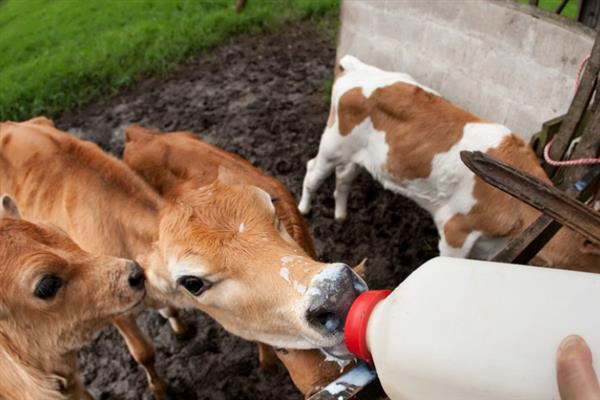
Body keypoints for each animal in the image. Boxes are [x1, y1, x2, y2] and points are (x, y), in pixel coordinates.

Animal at [300, 56, 600, 272]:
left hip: (356, 154)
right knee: (312, 170)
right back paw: (304, 209)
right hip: (333, 143)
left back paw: (341, 215)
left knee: (344, 175)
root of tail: (358, 67)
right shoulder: (455, 229)